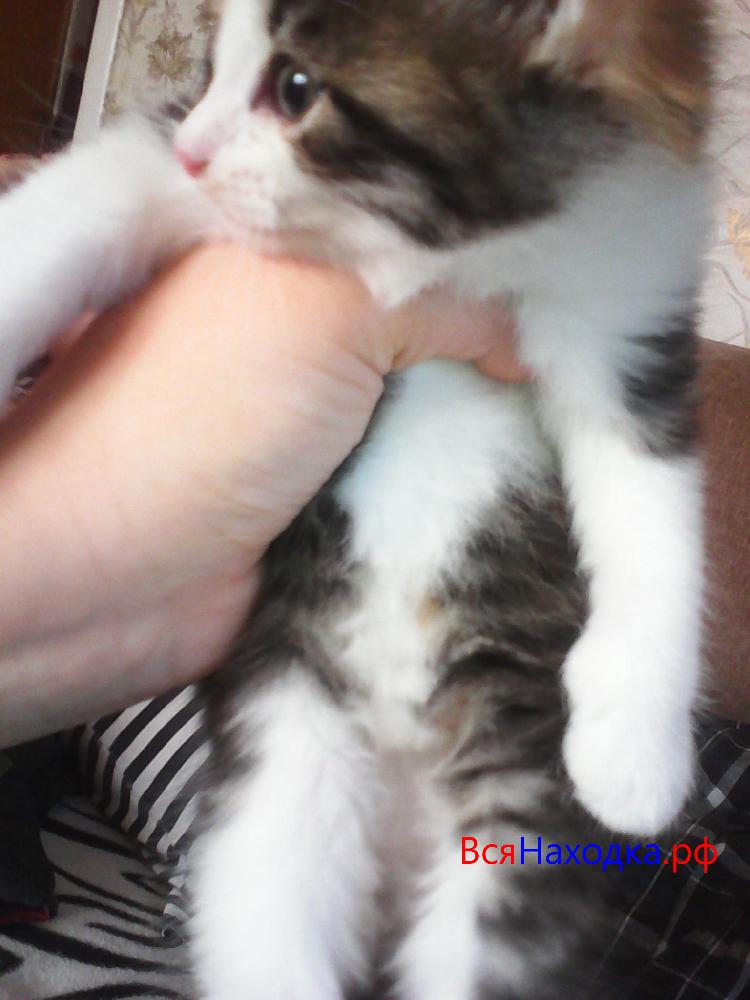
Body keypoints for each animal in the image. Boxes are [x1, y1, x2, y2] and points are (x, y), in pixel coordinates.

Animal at [0, 0, 711, 996]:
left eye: (296, 88)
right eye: (213, 65)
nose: (193, 146)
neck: (459, 256)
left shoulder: (629, 309)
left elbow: (657, 512)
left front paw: (635, 747)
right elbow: (79, 205)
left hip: (509, 825)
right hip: (286, 760)